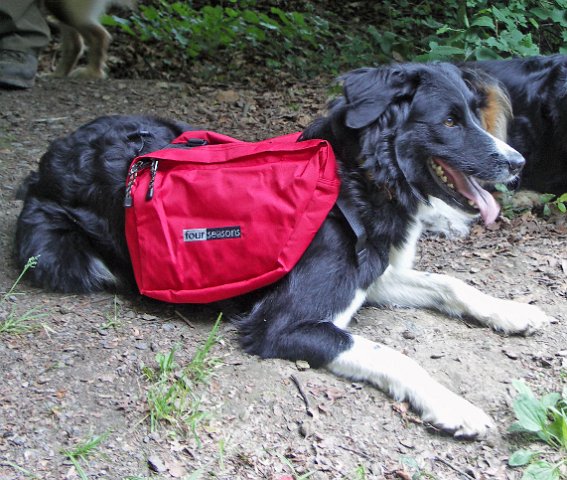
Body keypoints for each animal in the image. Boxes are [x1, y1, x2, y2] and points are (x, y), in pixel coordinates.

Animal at [15, 62, 551, 439]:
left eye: (474, 114)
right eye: (450, 121)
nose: (520, 163)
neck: (355, 181)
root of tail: (50, 155)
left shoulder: (373, 274)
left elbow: (450, 283)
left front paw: (511, 311)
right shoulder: (284, 324)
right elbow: (392, 354)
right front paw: (454, 406)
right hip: (60, 252)